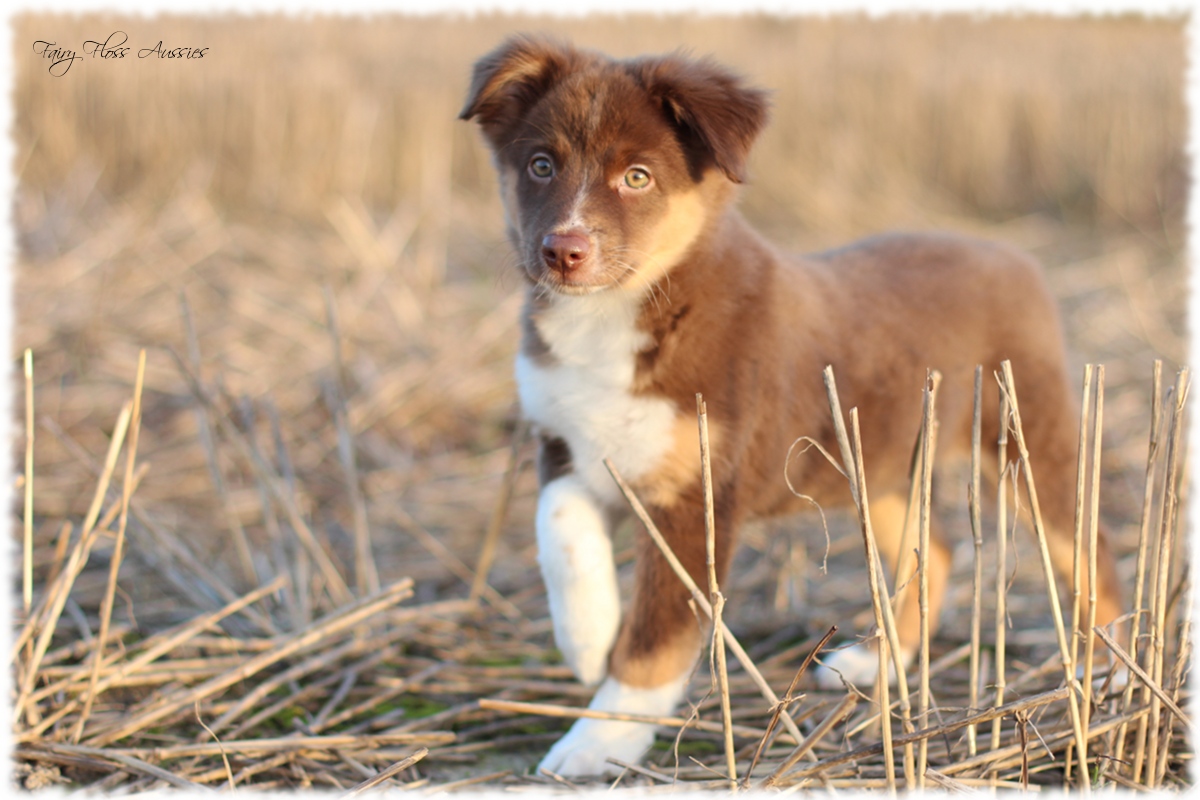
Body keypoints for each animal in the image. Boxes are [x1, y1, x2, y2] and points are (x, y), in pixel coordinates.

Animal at [458, 35, 1123, 777]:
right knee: (937, 550)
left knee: (1091, 554)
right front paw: (585, 638)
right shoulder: (564, 442)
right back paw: (878, 662)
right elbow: (560, 531)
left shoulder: (698, 496)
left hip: (1029, 439)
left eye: (637, 177)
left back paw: (1108, 679)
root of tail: (1013, 253)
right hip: (875, 463)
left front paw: (600, 739)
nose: (563, 251)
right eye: (540, 165)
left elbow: (658, 635)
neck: (622, 314)